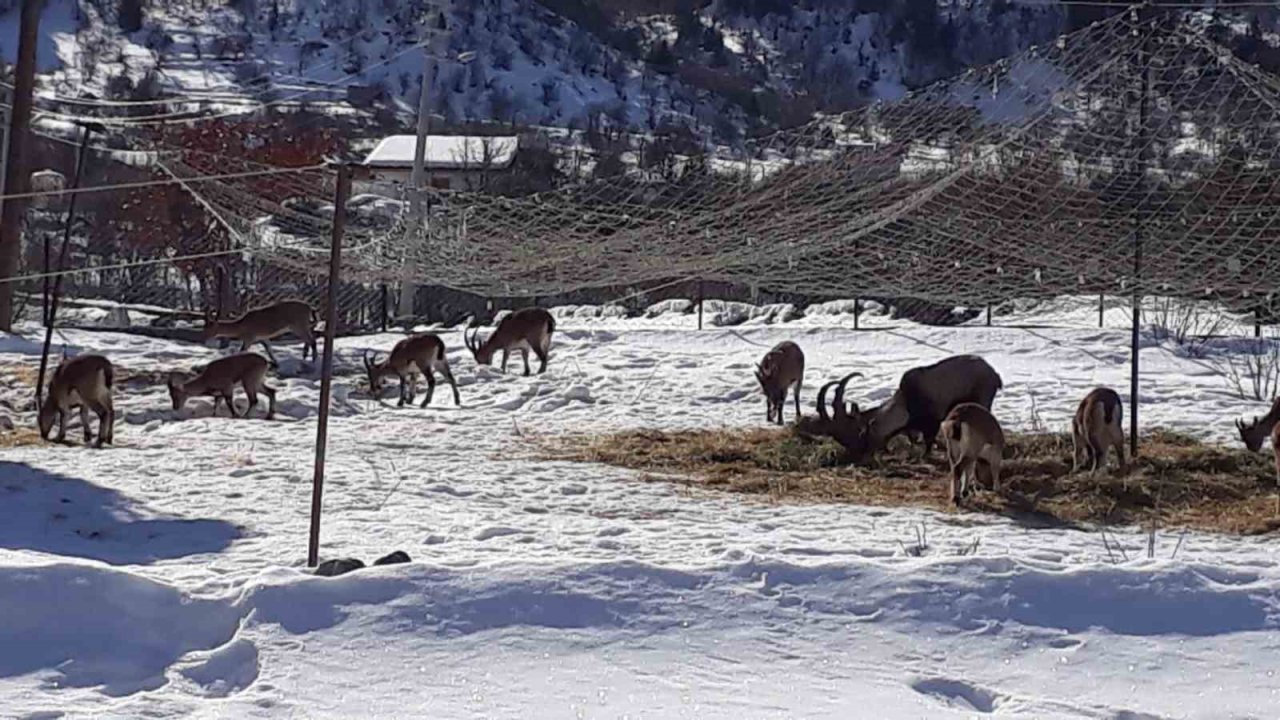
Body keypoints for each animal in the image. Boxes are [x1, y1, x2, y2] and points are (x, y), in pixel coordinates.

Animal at [798, 353, 998, 466]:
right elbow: (913, 439)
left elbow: (927, 442)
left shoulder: (932, 422)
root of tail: (994, 374)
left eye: (860, 438)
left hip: (983, 399)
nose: (856, 458)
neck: (906, 403)